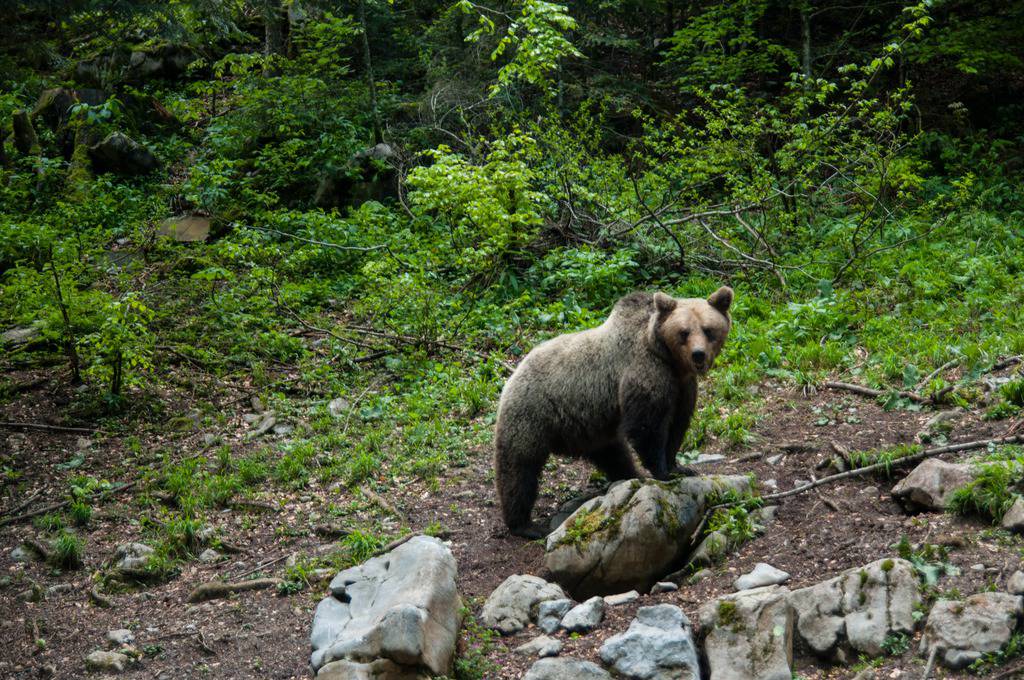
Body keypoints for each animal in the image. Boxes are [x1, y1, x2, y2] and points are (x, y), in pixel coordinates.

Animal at [491, 284, 733, 536]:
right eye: (684, 332)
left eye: (708, 330)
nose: (698, 354)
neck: (669, 359)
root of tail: (513, 374)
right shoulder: (647, 372)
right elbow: (648, 427)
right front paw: (663, 472)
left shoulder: (683, 387)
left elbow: (677, 426)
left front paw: (680, 468)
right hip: (532, 413)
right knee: (519, 468)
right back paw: (525, 524)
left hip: (589, 427)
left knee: (613, 454)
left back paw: (630, 475)